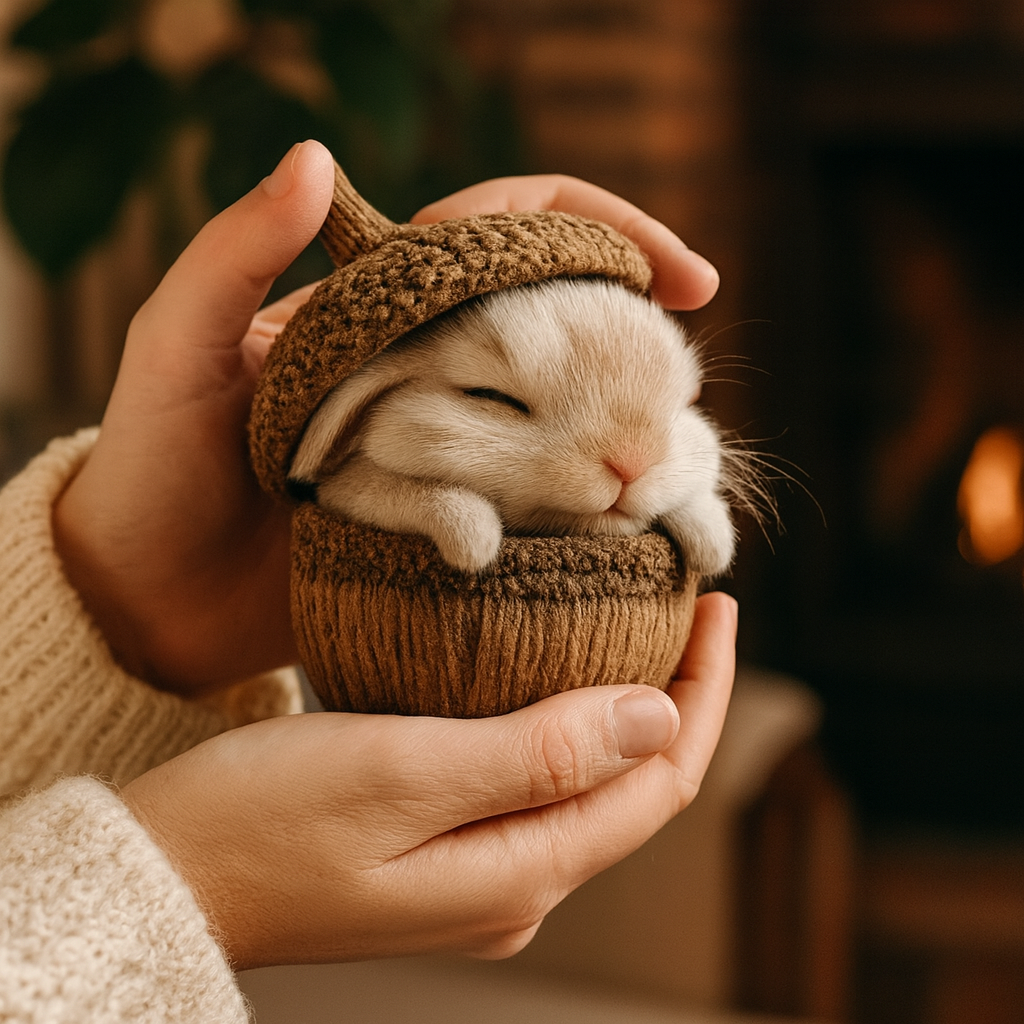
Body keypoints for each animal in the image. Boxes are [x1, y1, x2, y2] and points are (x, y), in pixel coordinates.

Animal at [288, 277, 740, 575]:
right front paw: (474, 540)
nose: (631, 463)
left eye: (681, 405)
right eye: (493, 396)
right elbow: (406, 493)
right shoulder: (345, 492)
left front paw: (711, 540)